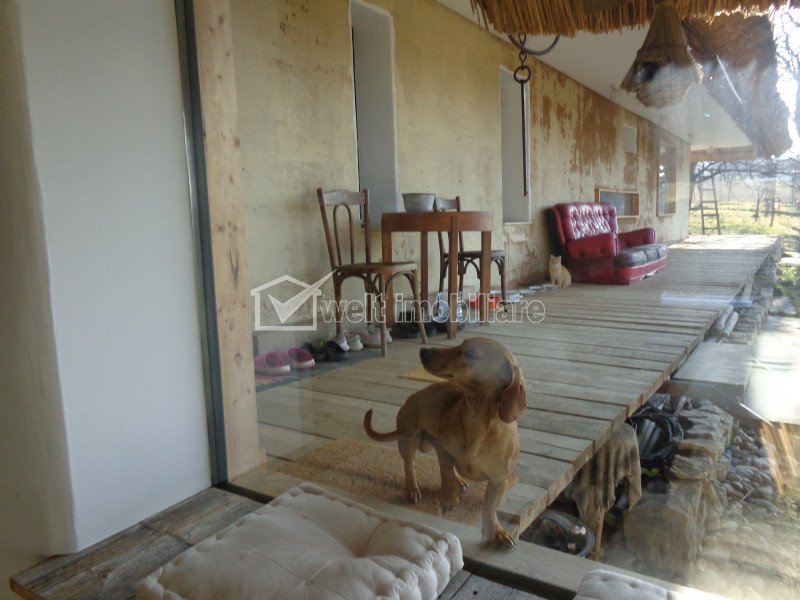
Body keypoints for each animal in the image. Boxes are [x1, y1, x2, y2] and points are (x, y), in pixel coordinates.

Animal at [363, 337, 527, 548]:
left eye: (470, 353)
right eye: (460, 344)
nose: (423, 351)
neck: (479, 425)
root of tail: (412, 398)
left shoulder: (499, 480)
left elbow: (490, 508)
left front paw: (495, 531)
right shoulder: (444, 449)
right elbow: (446, 472)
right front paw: (449, 497)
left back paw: (459, 482)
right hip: (409, 439)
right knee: (410, 466)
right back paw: (413, 488)